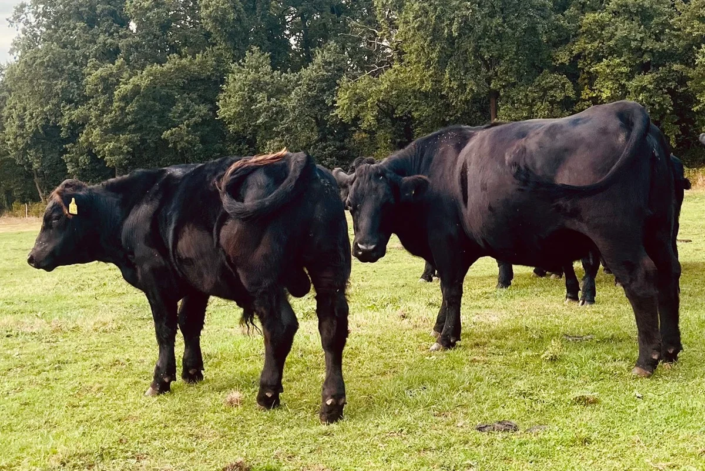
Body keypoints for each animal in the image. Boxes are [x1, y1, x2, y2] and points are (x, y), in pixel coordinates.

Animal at [27, 151, 351, 423]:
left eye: (53, 218)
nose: (31, 257)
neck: (129, 209)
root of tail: (296, 161)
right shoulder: (197, 282)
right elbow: (189, 323)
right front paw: (192, 371)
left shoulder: (155, 279)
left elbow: (165, 329)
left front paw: (161, 381)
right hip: (330, 272)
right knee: (332, 329)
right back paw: (331, 403)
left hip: (263, 281)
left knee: (280, 328)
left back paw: (267, 394)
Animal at [334, 101, 682, 377]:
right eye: (350, 205)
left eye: (387, 203)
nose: (365, 248)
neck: (431, 175)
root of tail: (622, 110)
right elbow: (449, 292)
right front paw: (442, 328)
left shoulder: (446, 244)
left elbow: (451, 290)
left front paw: (445, 338)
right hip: (660, 232)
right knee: (668, 277)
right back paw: (670, 349)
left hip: (615, 235)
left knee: (641, 280)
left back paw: (646, 360)